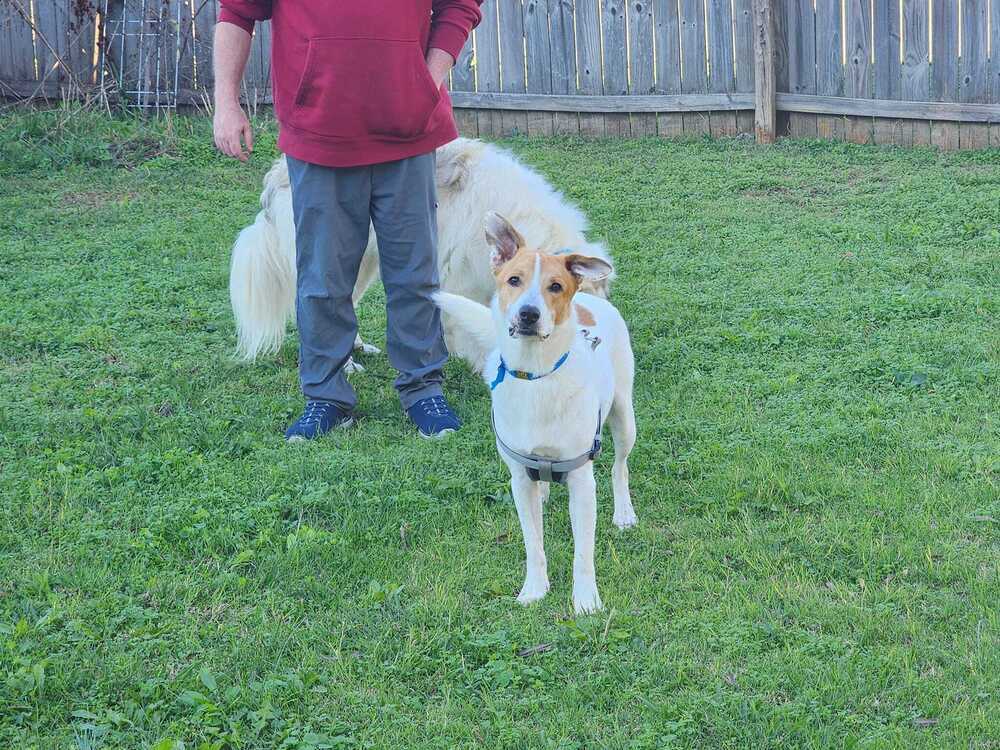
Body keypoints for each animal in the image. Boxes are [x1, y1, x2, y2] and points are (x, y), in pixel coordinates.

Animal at [434, 213, 636, 616]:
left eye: (555, 286)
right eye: (514, 280)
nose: (528, 314)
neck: (536, 376)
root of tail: (588, 300)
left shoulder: (582, 481)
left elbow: (583, 552)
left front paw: (586, 600)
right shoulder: (518, 480)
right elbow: (533, 543)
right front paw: (534, 589)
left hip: (624, 417)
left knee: (620, 467)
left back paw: (623, 512)